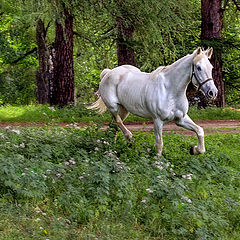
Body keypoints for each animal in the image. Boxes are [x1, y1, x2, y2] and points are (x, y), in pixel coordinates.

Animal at [87, 47, 218, 156]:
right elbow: (159, 144)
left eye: (211, 67)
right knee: (118, 122)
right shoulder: (158, 121)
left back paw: (112, 148)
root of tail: (108, 73)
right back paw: (129, 138)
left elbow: (200, 131)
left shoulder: (180, 119)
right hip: (113, 107)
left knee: (114, 125)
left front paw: (194, 150)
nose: (213, 92)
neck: (170, 90)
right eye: (198, 67)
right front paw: (158, 163)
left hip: (124, 109)